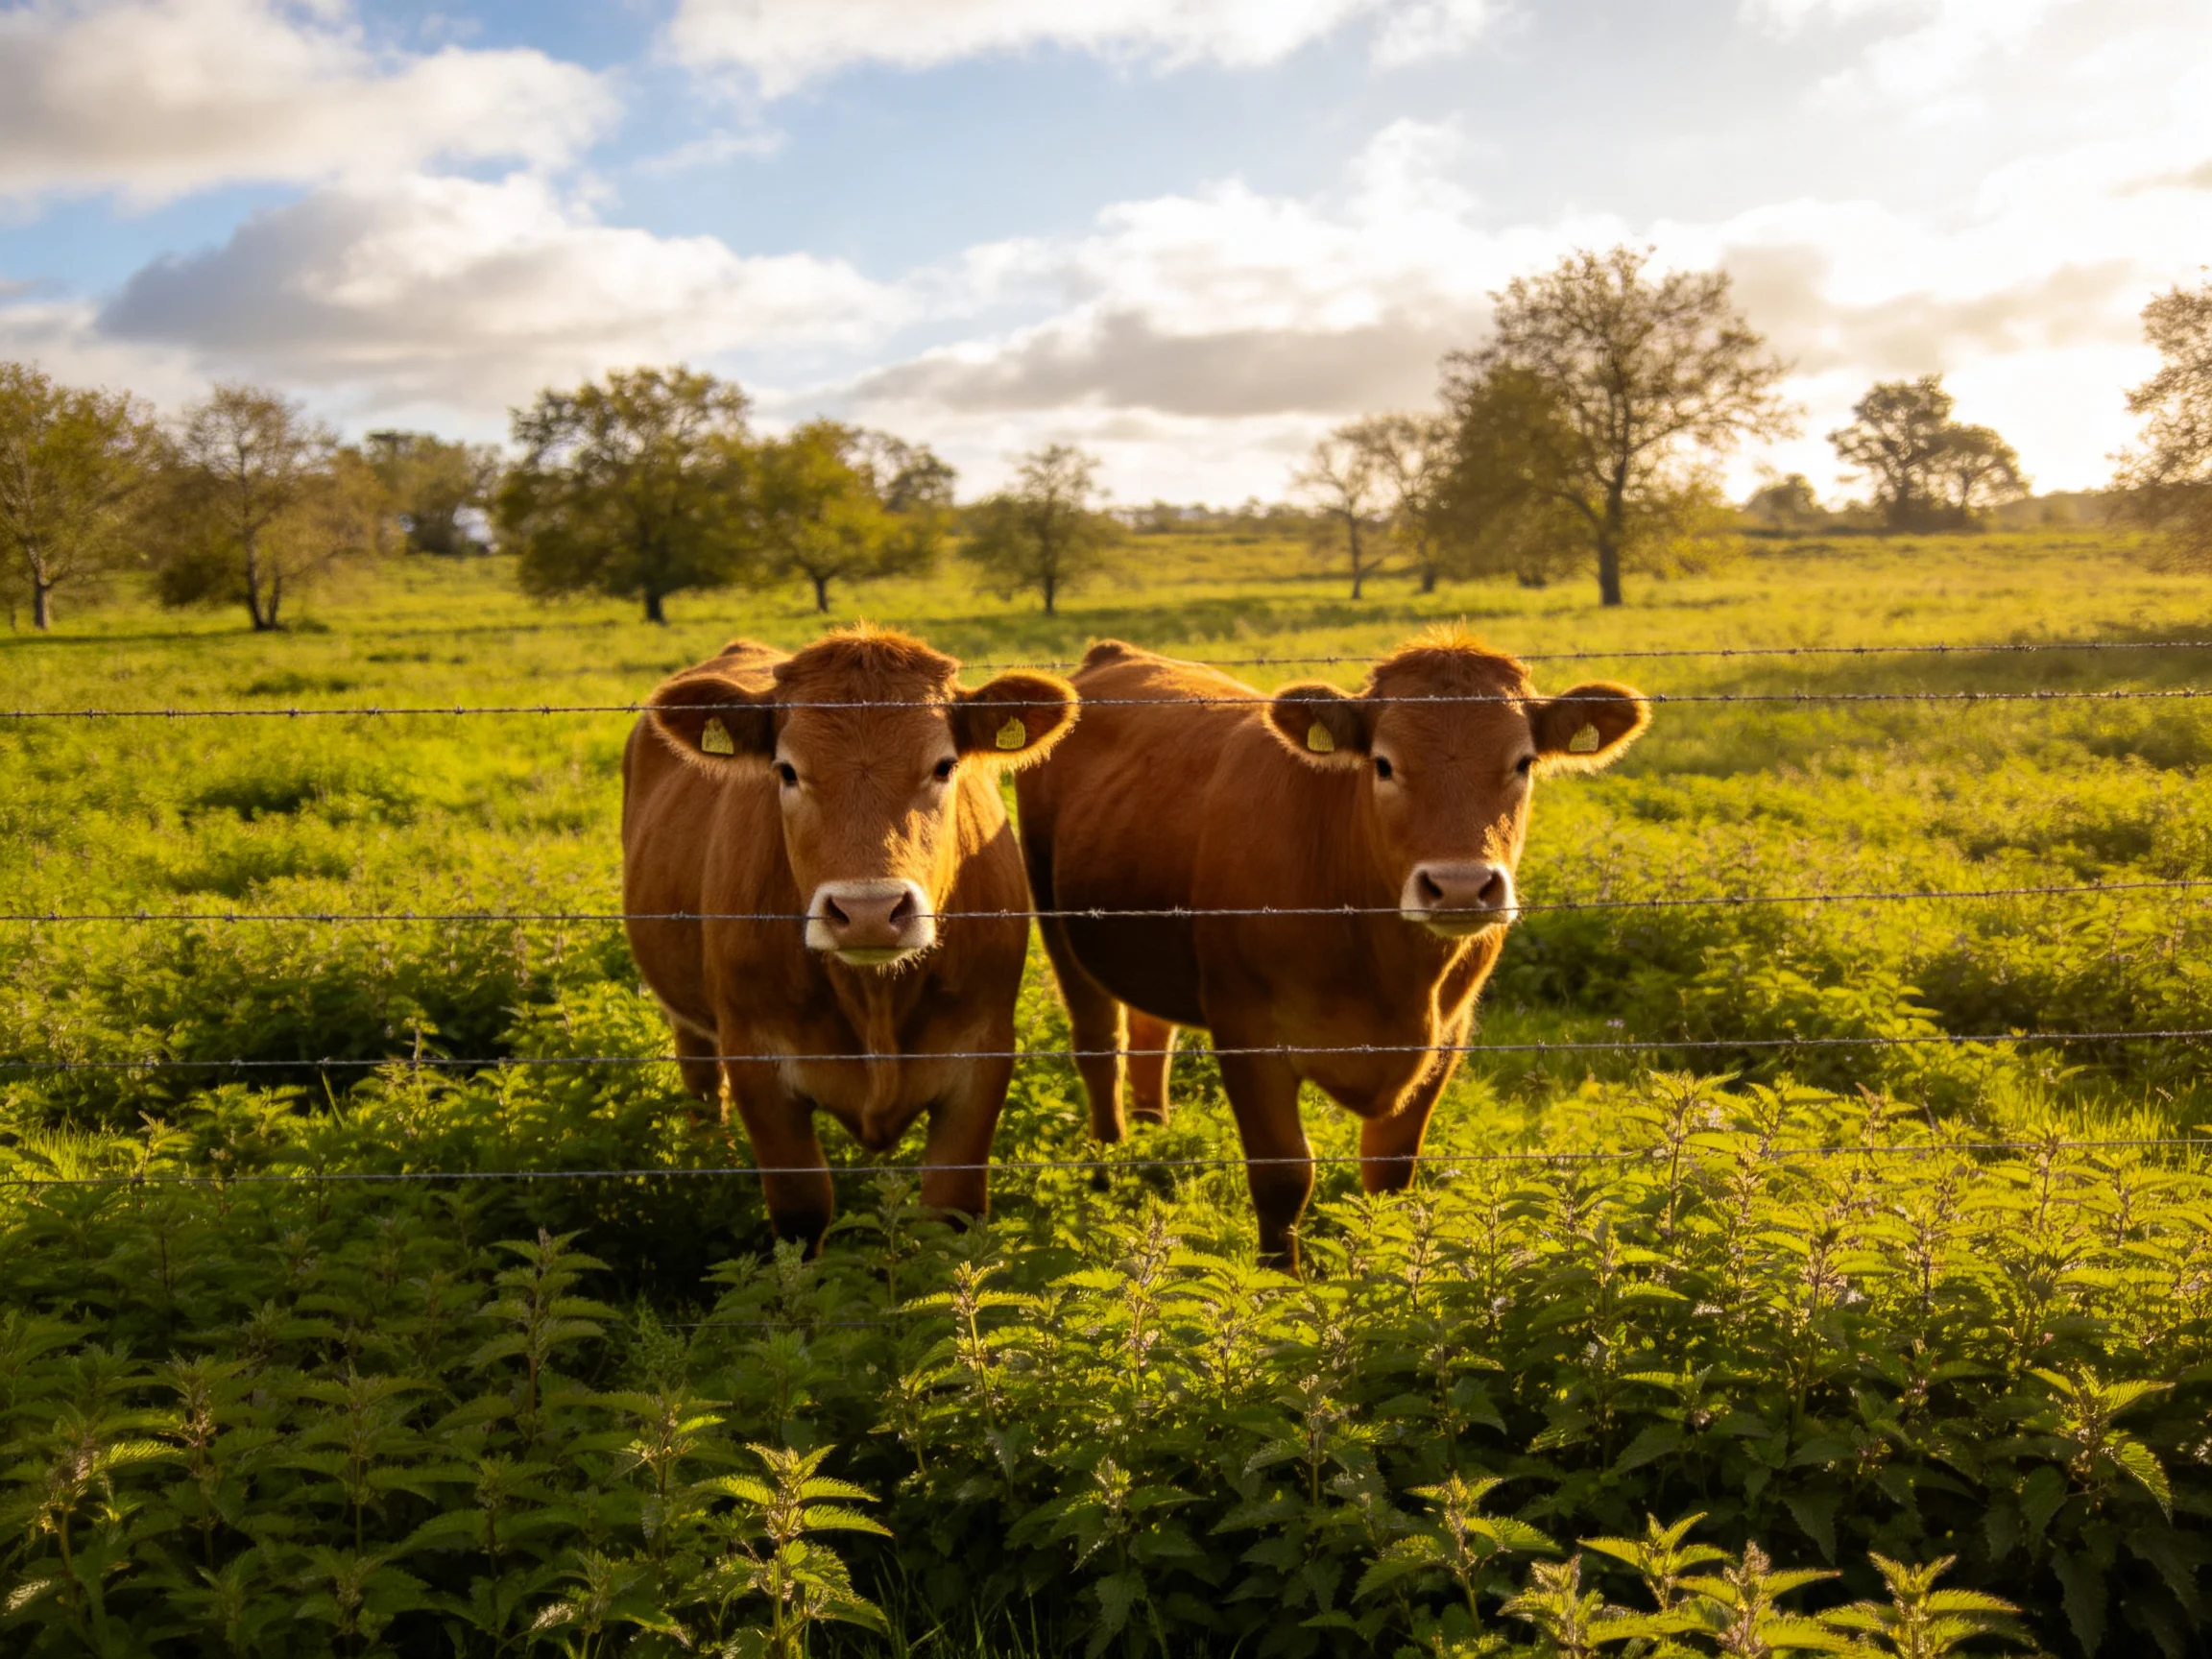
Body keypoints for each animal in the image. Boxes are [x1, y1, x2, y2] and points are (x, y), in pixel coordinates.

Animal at [622, 628, 1078, 1250]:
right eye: (787, 770)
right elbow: (801, 1209)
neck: (875, 999)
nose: (868, 911)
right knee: (701, 1083)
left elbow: (950, 1209)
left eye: (944, 765)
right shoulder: (755, 1060)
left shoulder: (983, 1055)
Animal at [1015, 632, 1649, 1271]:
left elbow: (1390, 1175)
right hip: (1055, 918)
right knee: (1100, 1047)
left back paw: (1152, 1138)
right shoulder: (1247, 1032)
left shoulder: (1448, 1034)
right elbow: (1284, 1176)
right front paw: (1279, 1284)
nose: (1460, 886)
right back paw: (1107, 1168)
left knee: (1151, 1036)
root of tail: (1115, 654)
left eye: (1523, 762)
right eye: (1384, 763)